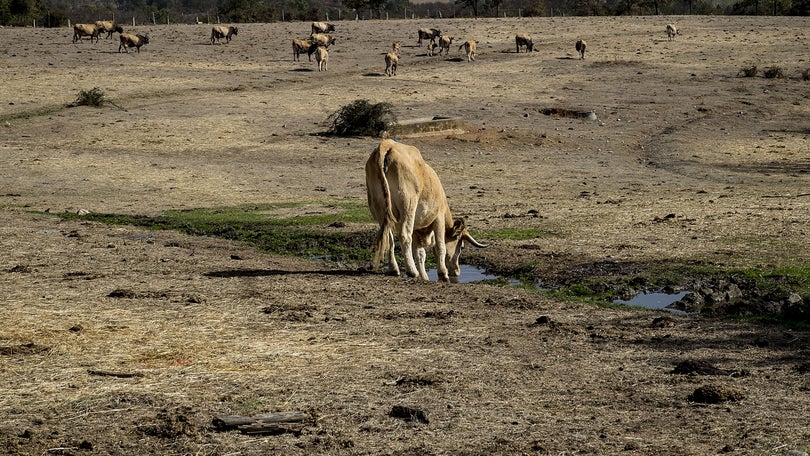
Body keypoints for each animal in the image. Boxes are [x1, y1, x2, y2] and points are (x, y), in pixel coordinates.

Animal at [366, 139, 486, 282]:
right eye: (461, 246)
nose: (457, 271)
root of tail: (388, 144)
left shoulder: (416, 230)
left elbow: (420, 253)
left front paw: (425, 277)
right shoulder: (438, 218)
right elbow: (440, 246)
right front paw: (443, 273)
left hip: (380, 209)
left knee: (389, 238)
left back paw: (394, 269)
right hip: (408, 206)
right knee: (404, 235)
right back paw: (412, 271)